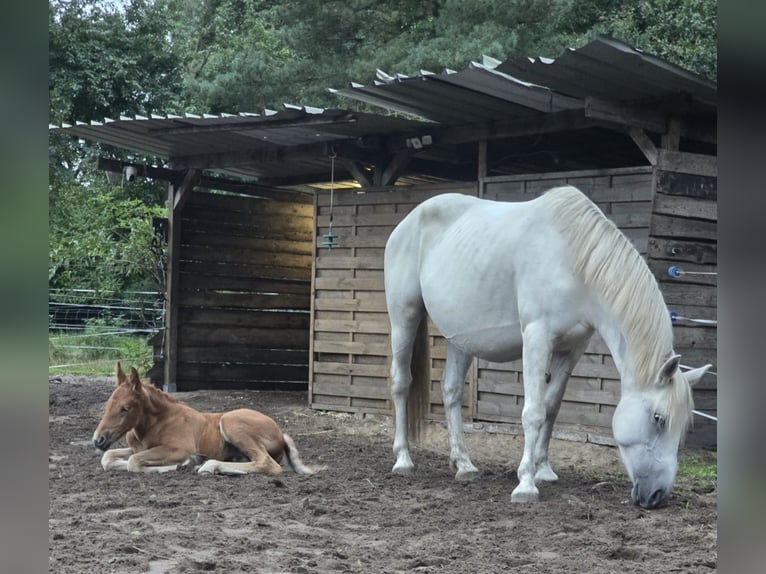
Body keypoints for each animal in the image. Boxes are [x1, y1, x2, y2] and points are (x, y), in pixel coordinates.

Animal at [92, 363, 323, 476]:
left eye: (125, 408)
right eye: (108, 404)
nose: (98, 440)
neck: (157, 423)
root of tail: (280, 433)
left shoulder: (179, 449)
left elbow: (133, 462)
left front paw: (180, 465)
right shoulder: (138, 448)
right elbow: (109, 458)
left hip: (231, 423)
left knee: (267, 464)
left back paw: (208, 466)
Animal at [384, 186, 711, 509]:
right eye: (659, 418)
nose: (657, 496)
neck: (575, 261)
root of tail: (408, 221)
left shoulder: (572, 348)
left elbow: (551, 408)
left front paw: (544, 470)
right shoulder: (536, 338)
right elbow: (534, 412)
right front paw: (525, 485)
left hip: (460, 338)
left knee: (450, 391)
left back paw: (464, 465)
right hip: (404, 317)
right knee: (401, 383)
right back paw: (403, 460)